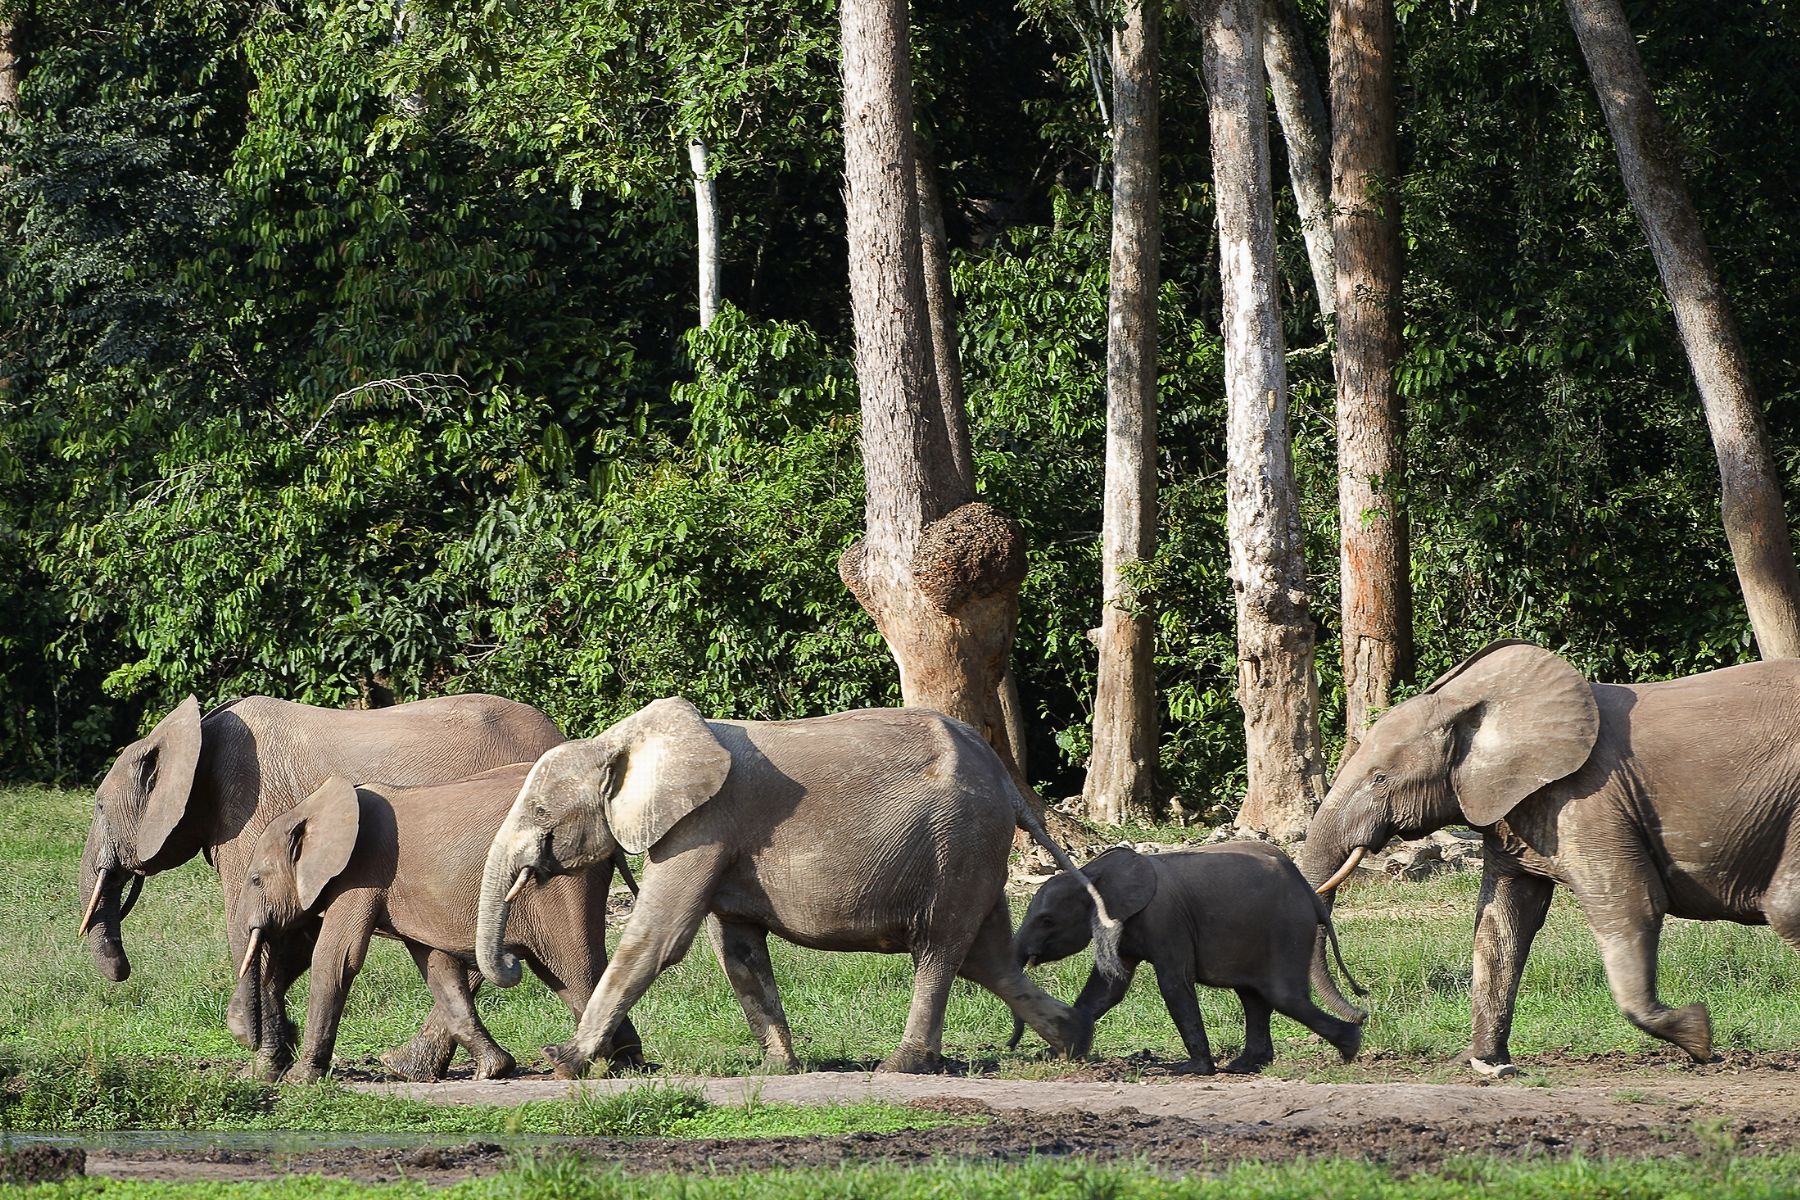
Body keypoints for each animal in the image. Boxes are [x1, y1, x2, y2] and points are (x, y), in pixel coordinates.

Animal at [75, 694, 568, 1079]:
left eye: (98, 806)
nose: (121, 969)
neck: (195, 732)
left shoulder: (245, 815)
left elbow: (253, 931)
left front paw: (260, 1060)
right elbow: (293, 935)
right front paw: (274, 1048)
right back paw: (410, 1067)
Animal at [232, 770, 637, 1086]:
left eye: (255, 880)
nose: (248, 1042)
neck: (313, 807)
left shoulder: (359, 874)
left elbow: (337, 959)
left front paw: (300, 1079)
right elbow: (437, 968)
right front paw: (493, 1070)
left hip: (562, 885)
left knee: (577, 970)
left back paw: (599, 1067)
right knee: (562, 976)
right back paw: (625, 1063)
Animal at [471, 698, 1116, 1072]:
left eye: (540, 811)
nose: (510, 964)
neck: (620, 741)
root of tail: (1007, 783)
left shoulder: (703, 826)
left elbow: (658, 939)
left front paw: (563, 1061)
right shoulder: (719, 842)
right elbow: (737, 949)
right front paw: (777, 1069)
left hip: (959, 844)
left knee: (940, 950)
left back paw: (904, 1065)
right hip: (975, 852)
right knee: (990, 958)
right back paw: (1074, 1044)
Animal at [1015, 841, 1360, 1072]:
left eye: (1047, 921)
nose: (1014, 1045)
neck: (1091, 872)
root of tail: (1308, 893)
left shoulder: (1165, 918)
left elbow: (1173, 984)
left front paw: (1193, 1070)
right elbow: (1107, 989)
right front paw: (1060, 1051)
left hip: (1286, 928)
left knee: (1282, 996)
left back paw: (1351, 1046)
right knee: (1255, 997)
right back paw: (1245, 1065)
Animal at [1303, 636, 1800, 1079]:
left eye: (1380, 779)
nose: (1364, 1008)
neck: (1468, 701)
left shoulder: (1591, 800)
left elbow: (1630, 904)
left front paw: (1698, 1037)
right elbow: (1502, 921)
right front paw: (1485, 1064)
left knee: (1784, 909)